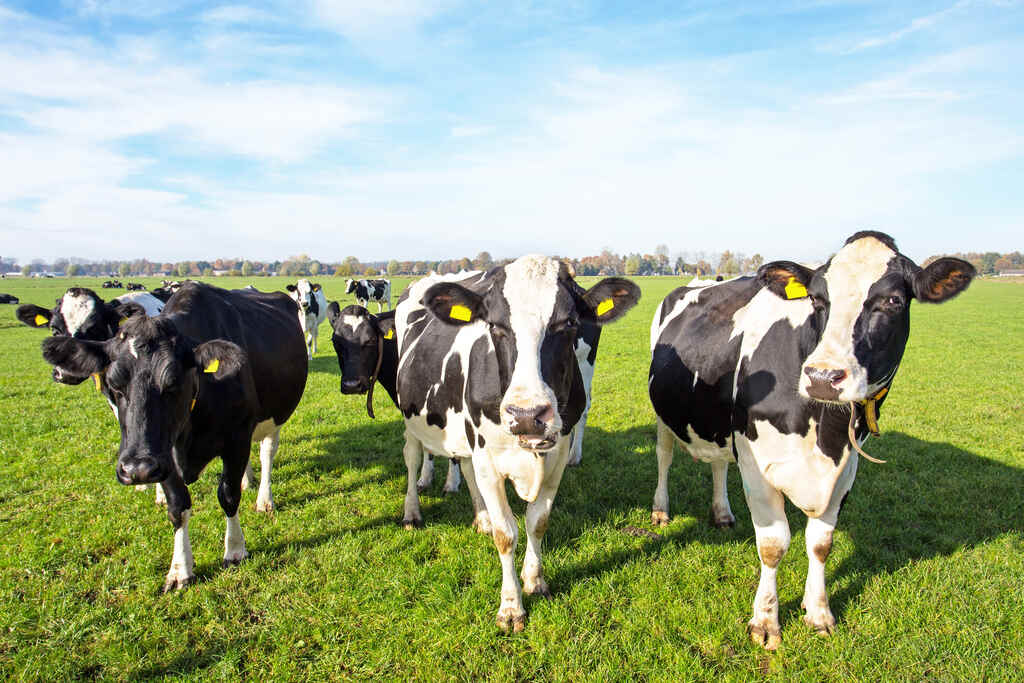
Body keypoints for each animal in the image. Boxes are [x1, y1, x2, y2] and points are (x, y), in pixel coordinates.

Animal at [36, 282, 308, 591]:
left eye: (173, 382)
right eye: (114, 385)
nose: (136, 469)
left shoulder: (236, 438)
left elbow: (228, 495)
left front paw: (235, 549)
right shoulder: (161, 454)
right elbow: (178, 506)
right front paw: (180, 569)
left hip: (275, 416)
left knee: (266, 453)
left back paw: (264, 498)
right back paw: (246, 479)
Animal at [394, 256, 640, 631]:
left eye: (569, 323)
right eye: (495, 326)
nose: (527, 415)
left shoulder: (557, 457)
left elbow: (537, 521)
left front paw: (534, 581)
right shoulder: (489, 459)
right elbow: (506, 533)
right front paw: (511, 607)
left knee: (466, 469)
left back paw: (481, 517)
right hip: (411, 420)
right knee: (411, 458)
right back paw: (412, 512)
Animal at [648, 231, 974, 649]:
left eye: (893, 301)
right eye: (818, 300)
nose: (823, 377)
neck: (825, 430)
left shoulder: (846, 469)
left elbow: (821, 543)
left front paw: (818, 612)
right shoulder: (756, 465)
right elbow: (773, 546)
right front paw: (765, 622)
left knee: (719, 463)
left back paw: (722, 513)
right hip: (664, 415)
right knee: (664, 457)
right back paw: (661, 510)